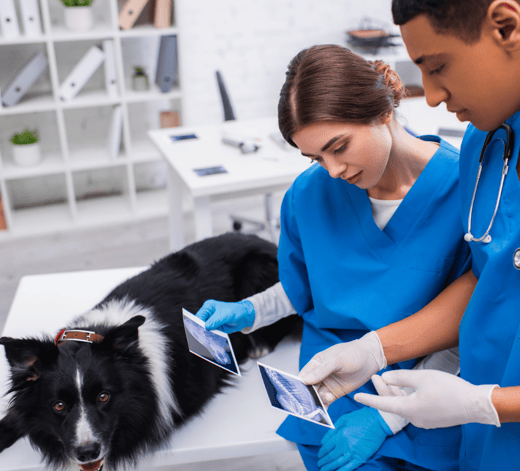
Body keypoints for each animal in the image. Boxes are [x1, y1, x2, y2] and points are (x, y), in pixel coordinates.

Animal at [0, 234, 300, 471]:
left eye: (104, 397)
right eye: (59, 405)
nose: (87, 453)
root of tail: (269, 242)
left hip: (258, 270)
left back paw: (257, 346)